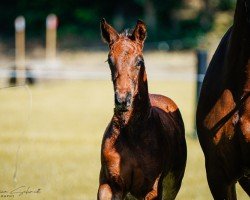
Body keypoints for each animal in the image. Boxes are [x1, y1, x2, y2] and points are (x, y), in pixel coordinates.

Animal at [97, 19, 188, 200]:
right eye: (110, 61)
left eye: (140, 61)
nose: (122, 100)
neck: (131, 134)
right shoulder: (110, 184)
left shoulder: (151, 189)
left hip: (172, 186)